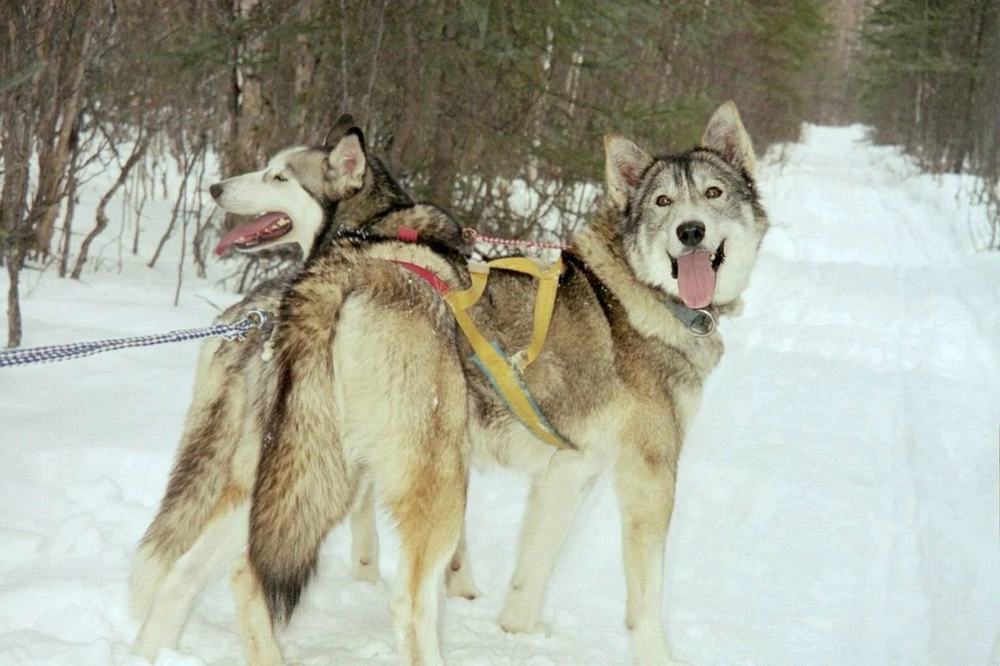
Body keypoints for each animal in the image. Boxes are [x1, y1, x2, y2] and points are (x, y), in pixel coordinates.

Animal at [240, 101, 764, 660]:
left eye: (713, 193)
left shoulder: (571, 469)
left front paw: (519, 634)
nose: (690, 231)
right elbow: (646, 601)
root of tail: (354, 267)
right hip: (429, 478)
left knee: (249, 571)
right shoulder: (650, 474)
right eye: (663, 201)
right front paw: (656, 655)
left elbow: (532, 571)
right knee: (408, 602)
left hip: (316, 466)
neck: (638, 293)